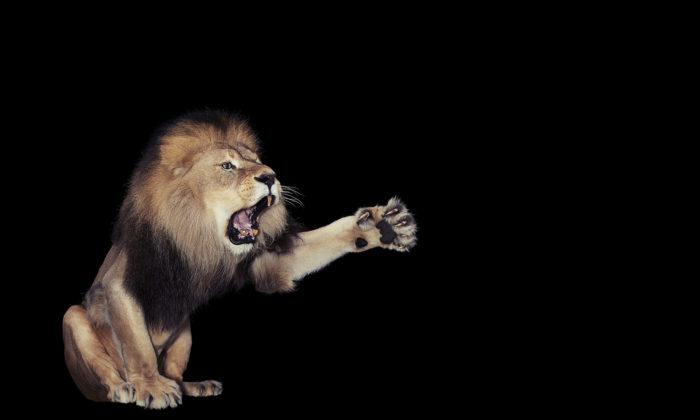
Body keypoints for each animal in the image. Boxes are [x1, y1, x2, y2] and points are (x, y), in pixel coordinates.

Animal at [62, 110, 417, 409]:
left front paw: (382, 228)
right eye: (227, 166)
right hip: (73, 318)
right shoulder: (121, 280)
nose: (271, 176)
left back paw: (192, 385)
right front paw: (150, 386)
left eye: (259, 162)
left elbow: (321, 241)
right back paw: (123, 388)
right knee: (106, 371)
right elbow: (137, 345)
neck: (201, 236)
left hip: (185, 330)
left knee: (175, 370)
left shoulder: (265, 261)